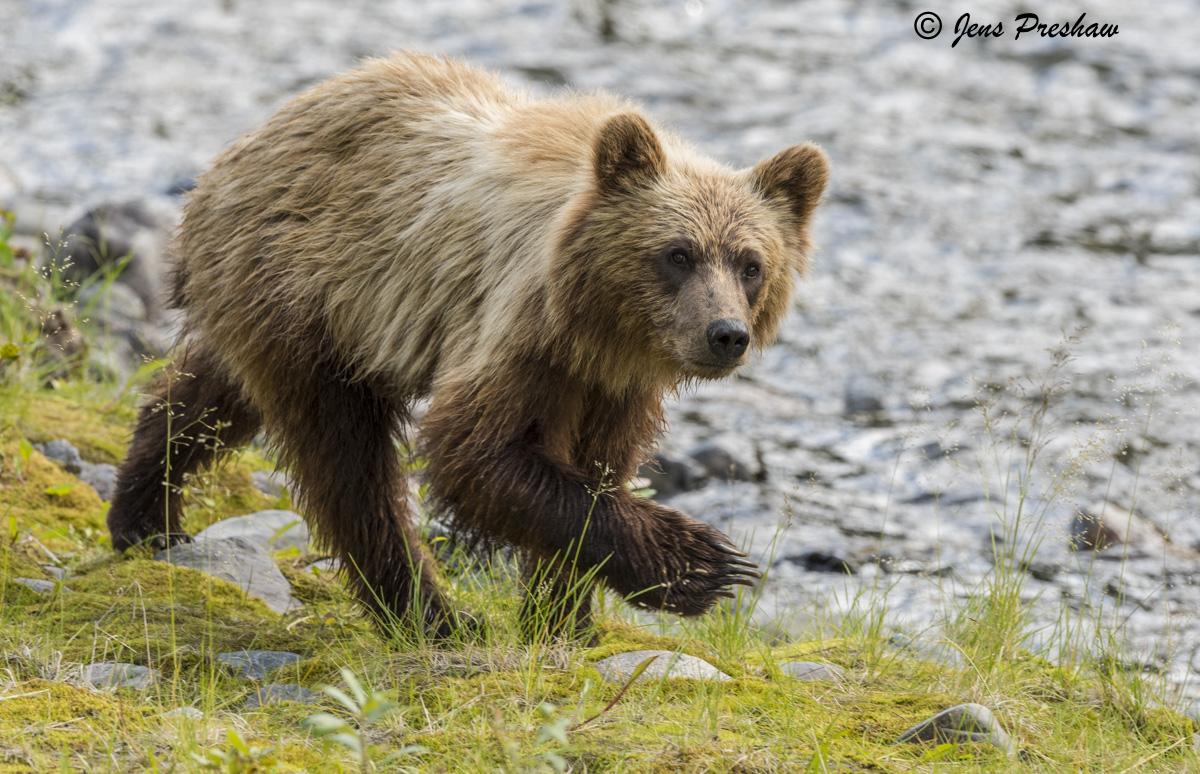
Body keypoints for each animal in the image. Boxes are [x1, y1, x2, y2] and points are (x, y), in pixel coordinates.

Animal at [108, 51, 830, 638]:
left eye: (750, 263)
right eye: (677, 253)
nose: (725, 334)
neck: (598, 330)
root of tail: (245, 145)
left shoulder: (615, 384)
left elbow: (600, 463)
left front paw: (563, 619)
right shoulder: (516, 330)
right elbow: (475, 452)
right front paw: (701, 564)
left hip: (286, 312)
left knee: (214, 393)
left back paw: (144, 511)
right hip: (310, 294)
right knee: (348, 466)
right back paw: (428, 613)